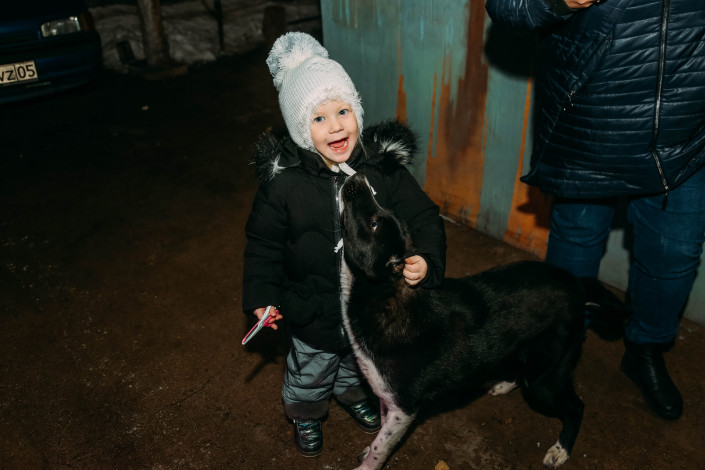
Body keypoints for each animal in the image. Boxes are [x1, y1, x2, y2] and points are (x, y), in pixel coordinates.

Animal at [339, 173, 626, 470]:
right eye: (378, 216)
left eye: (374, 223)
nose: (358, 176)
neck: (385, 295)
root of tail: (576, 283)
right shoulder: (387, 398)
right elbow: (381, 432)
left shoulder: (404, 407)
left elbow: (381, 445)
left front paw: (368, 465)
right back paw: (505, 383)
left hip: (544, 379)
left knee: (576, 407)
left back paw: (561, 450)